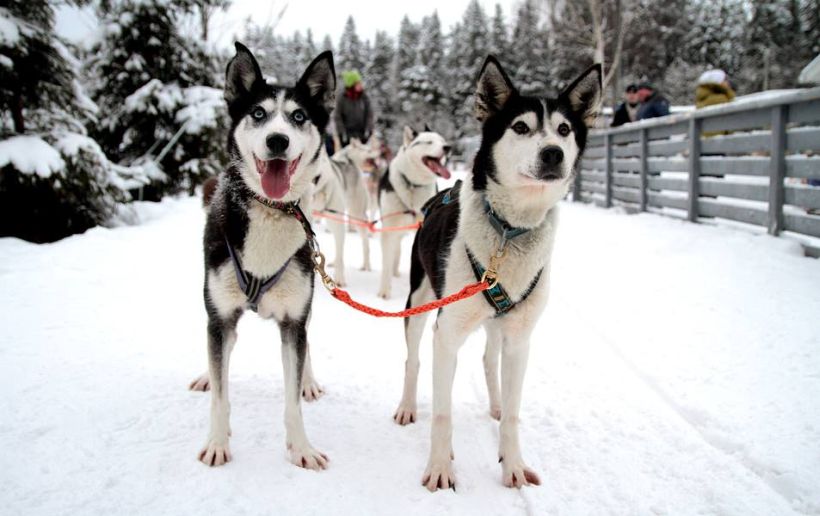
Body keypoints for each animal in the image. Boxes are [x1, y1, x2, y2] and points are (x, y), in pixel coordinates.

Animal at [195, 44, 336, 470]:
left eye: (299, 117)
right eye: (258, 113)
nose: (277, 140)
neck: (270, 210)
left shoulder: (293, 321)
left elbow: (292, 402)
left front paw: (302, 448)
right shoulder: (221, 317)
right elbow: (220, 395)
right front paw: (217, 442)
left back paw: (308, 380)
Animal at [376, 125, 452, 300]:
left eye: (443, 141)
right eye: (429, 142)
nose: (447, 147)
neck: (413, 185)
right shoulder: (388, 230)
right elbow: (386, 262)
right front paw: (384, 290)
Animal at [398, 57, 604, 492]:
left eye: (564, 129)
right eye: (520, 127)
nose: (553, 153)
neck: (509, 231)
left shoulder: (520, 340)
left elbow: (512, 412)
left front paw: (513, 465)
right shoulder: (446, 334)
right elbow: (442, 412)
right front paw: (440, 467)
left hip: (498, 326)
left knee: (488, 360)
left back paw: (492, 403)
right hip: (418, 304)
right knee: (412, 361)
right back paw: (407, 407)